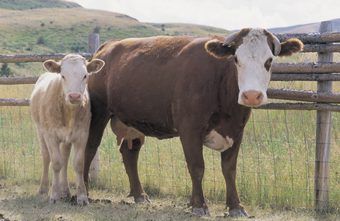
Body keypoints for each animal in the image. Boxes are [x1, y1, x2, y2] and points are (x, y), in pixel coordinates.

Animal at [30, 53, 105, 205]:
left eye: (85, 75)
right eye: (63, 75)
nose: (74, 96)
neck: (69, 112)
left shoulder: (82, 135)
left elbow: (78, 164)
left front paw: (82, 196)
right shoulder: (50, 135)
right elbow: (56, 163)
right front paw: (54, 194)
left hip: (66, 138)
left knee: (64, 157)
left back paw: (64, 190)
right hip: (40, 131)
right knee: (46, 157)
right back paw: (43, 189)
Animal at [83, 28, 302, 217]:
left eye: (269, 60)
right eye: (236, 59)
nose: (252, 95)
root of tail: (107, 47)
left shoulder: (237, 131)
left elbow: (229, 169)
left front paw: (236, 207)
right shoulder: (190, 129)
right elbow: (197, 166)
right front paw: (199, 205)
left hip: (132, 121)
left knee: (130, 154)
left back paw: (140, 195)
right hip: (98, 113)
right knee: (89, 148)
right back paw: (83, 193)